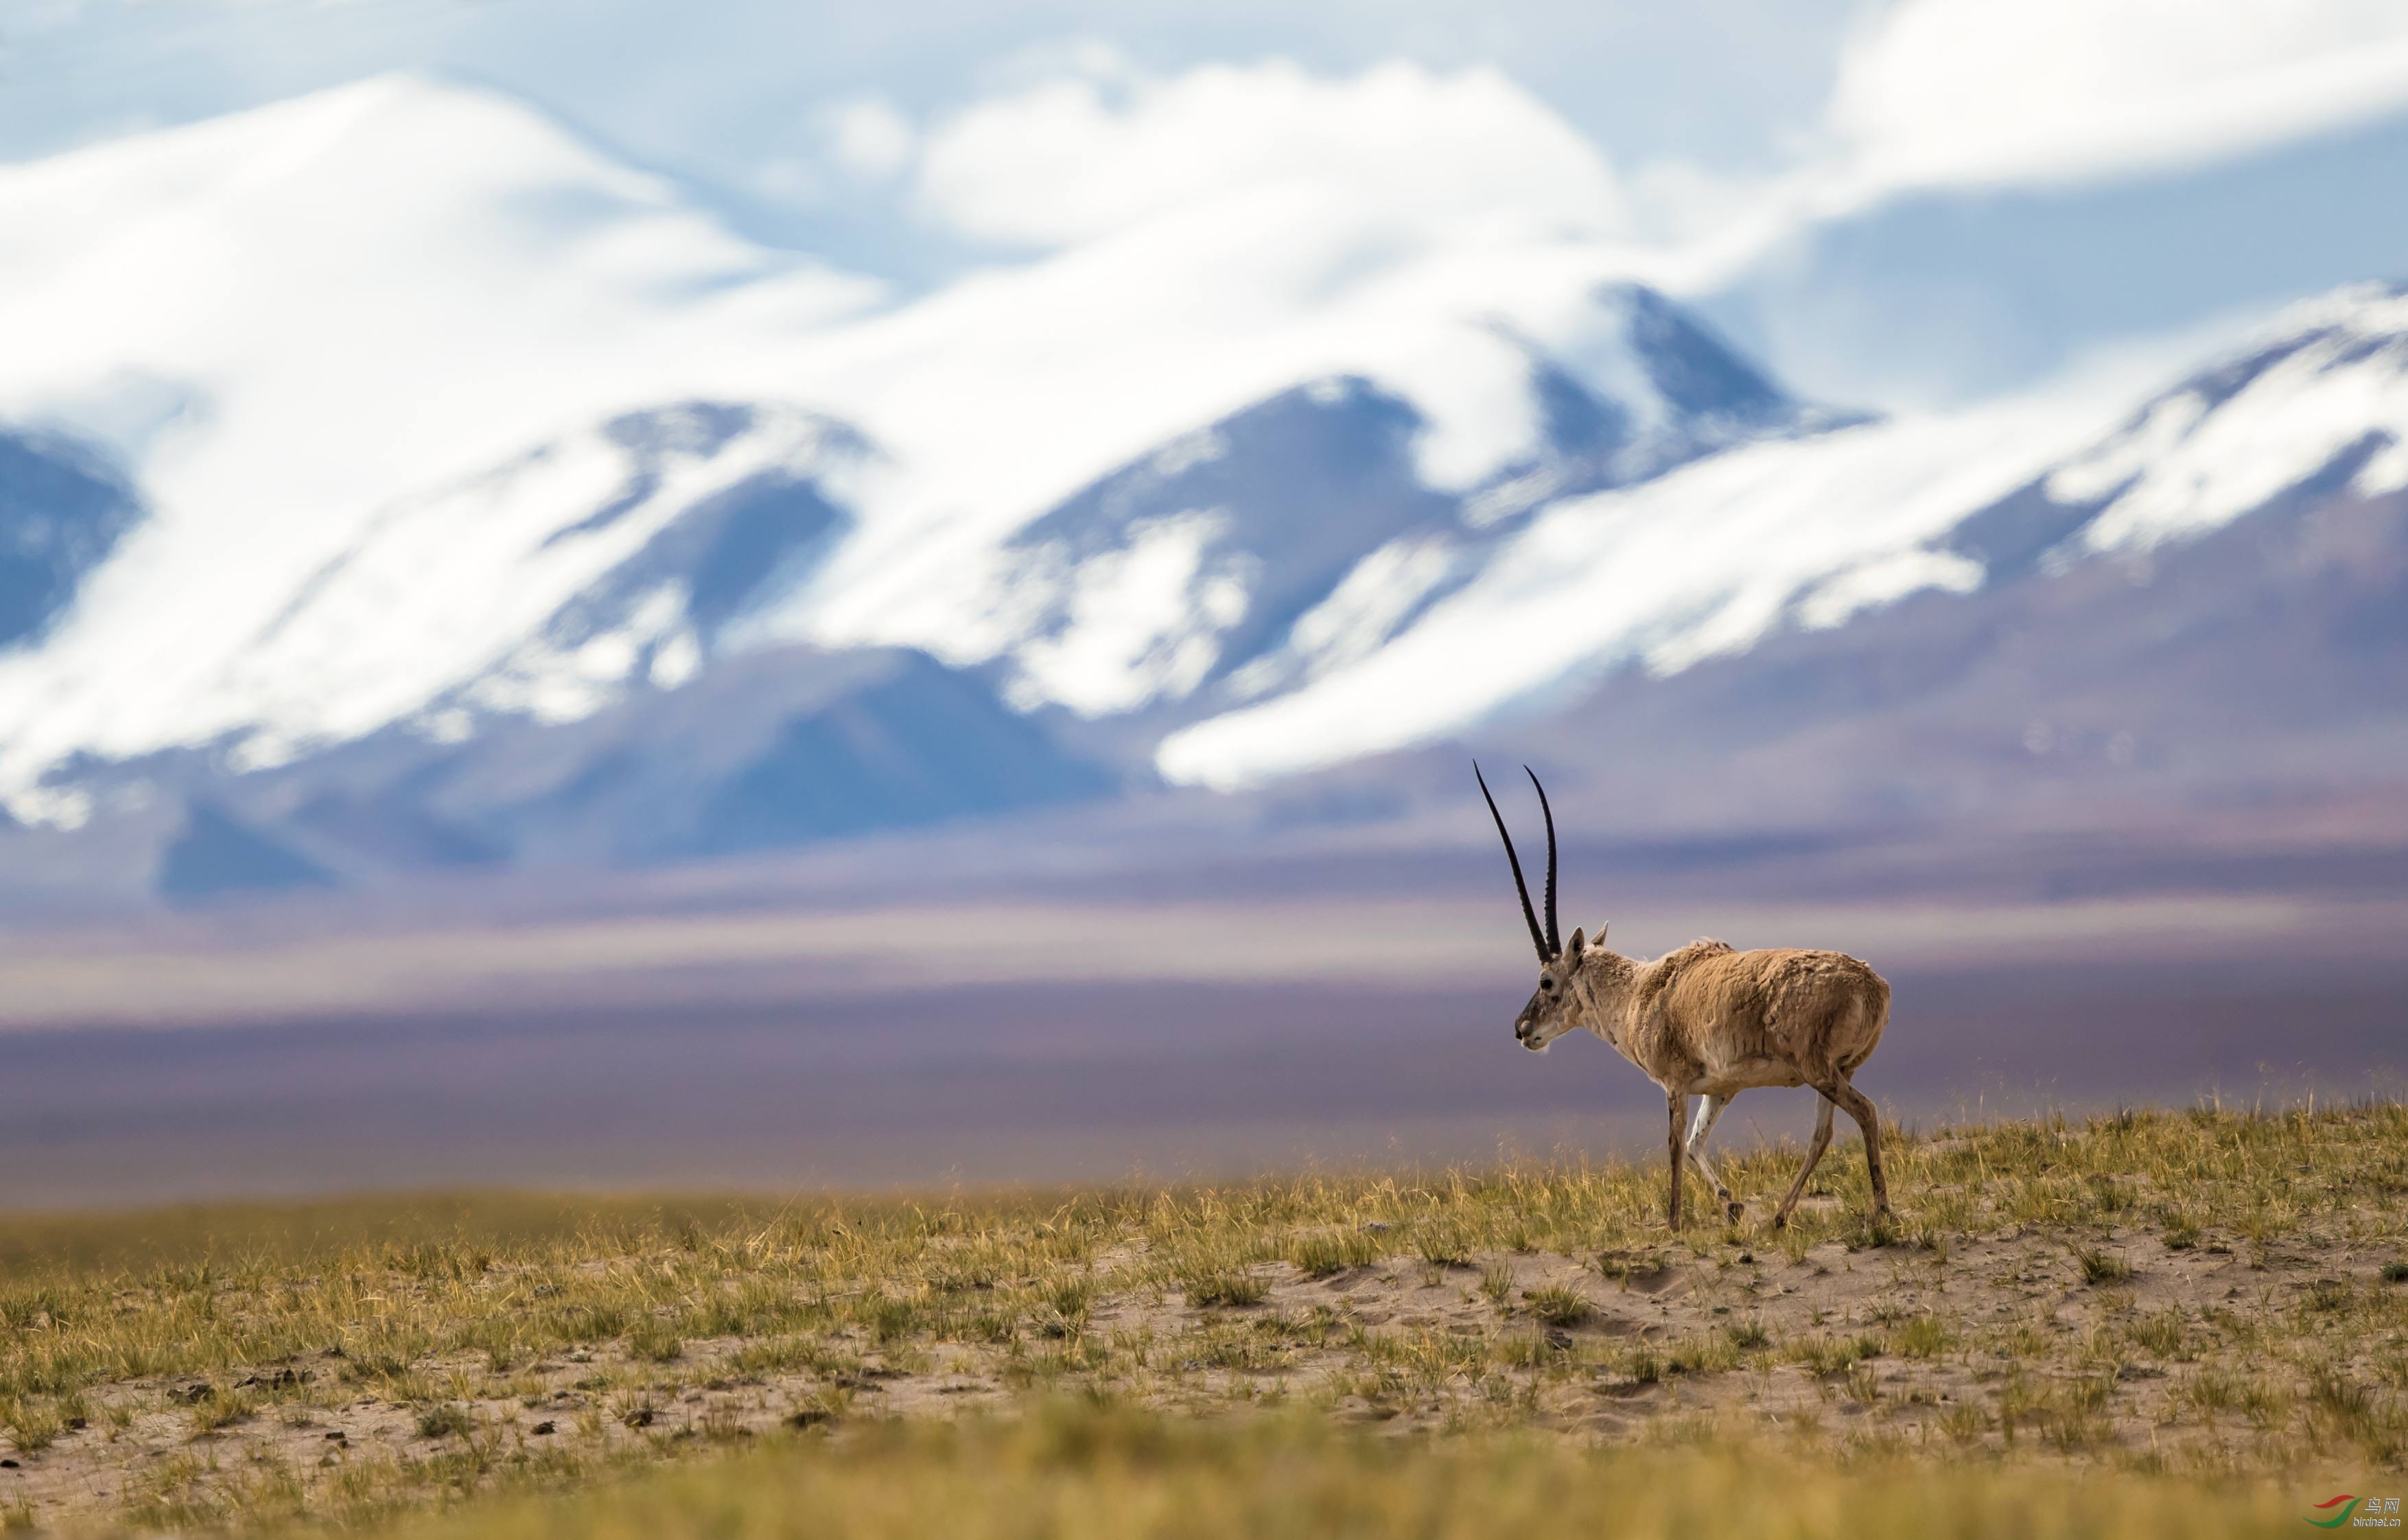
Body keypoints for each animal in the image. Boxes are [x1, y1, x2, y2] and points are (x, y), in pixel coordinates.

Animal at [1473, 766, 1888, 1234]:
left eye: (1545, 981)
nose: (1521, 1028)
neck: (1639, 991)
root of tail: (1871, 985)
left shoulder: (1675, 1084)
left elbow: (1673, 1144)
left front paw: (1673, 1222)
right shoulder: (1720, 1089)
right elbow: (1693, 1144)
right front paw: (1731, 1205)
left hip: (1820, 1070)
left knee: (1866, 1112)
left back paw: (1881, 1210)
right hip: (1835, 1072)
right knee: (1822, 1135)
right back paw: (1779, 1216)